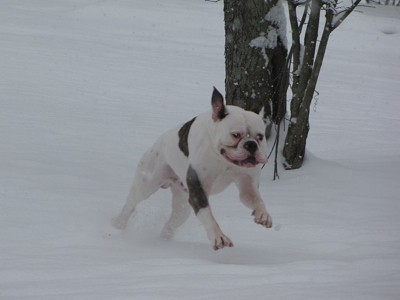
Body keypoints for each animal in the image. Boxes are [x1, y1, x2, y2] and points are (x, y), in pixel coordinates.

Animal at [114, 88, 274, 250]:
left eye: (260, 136)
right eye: (236, 135)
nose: (251, 144)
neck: (223, 159)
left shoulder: (247, 185)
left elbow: (256, 199)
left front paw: (263, 215)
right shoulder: (198, 189)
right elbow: (207, 215)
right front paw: (218, 237)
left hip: (183, 205)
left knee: (172, 222)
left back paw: (164, 239)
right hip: (147, 183)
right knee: (131, 203)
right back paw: (118, 224)